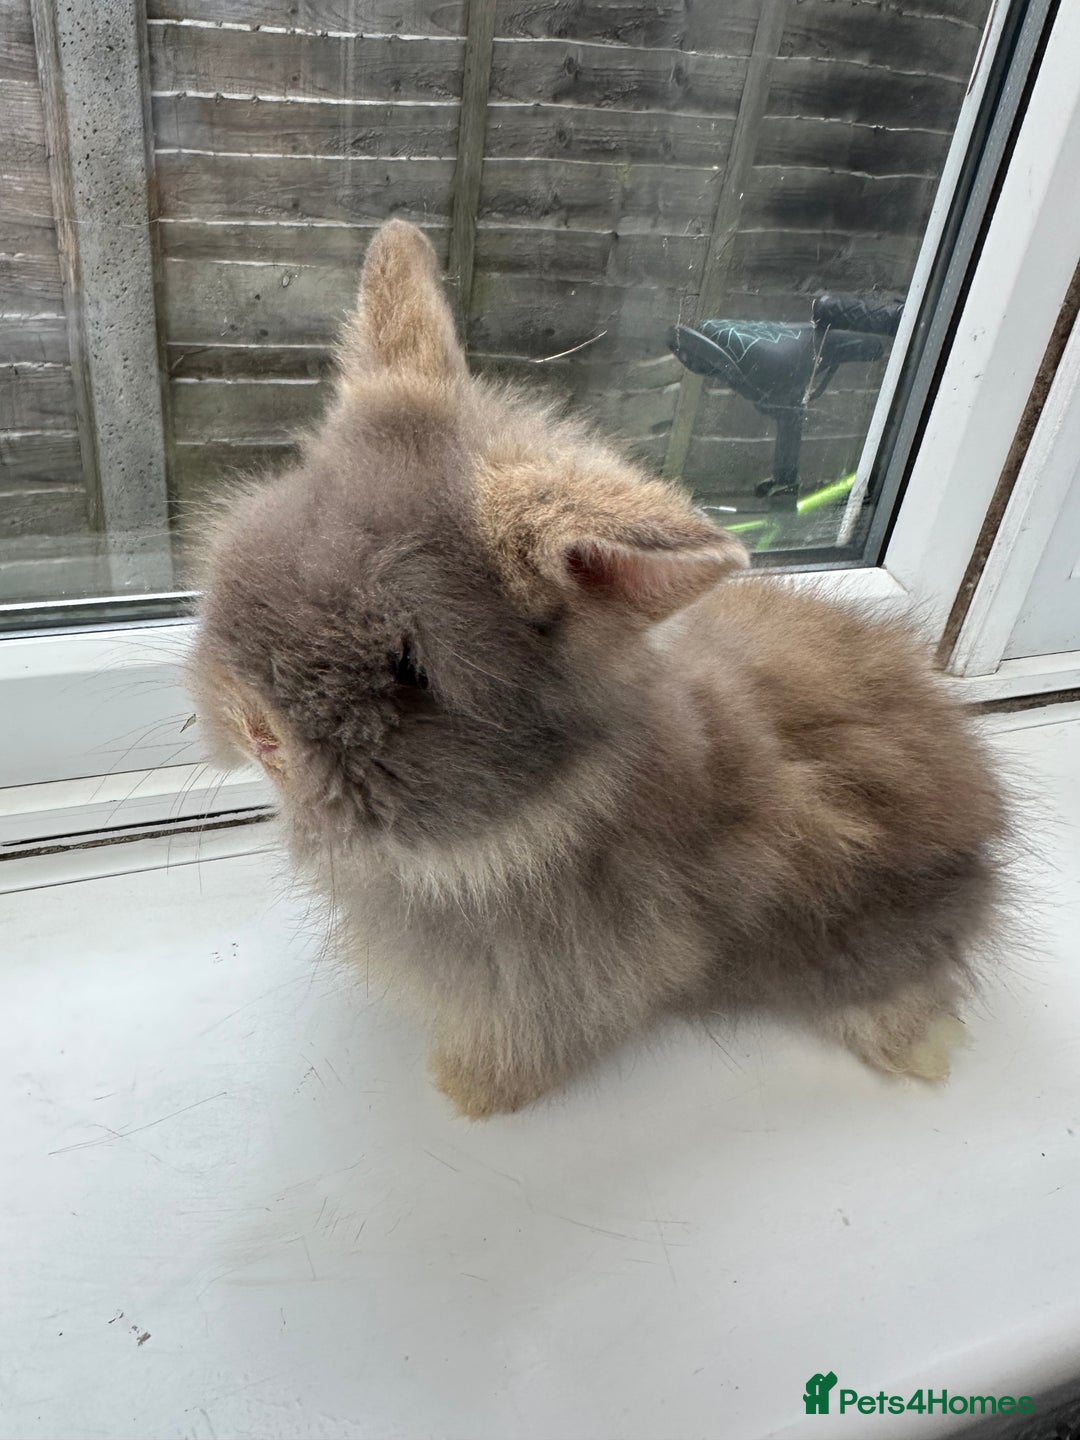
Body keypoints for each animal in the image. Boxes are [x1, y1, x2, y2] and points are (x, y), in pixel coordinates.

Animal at [190, 219, 1008, 1118]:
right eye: (271, 541)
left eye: (410, 669)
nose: (260, 735)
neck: (542, 813)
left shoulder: (565, 975)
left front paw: (470, 1093)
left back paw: (915, 1048)